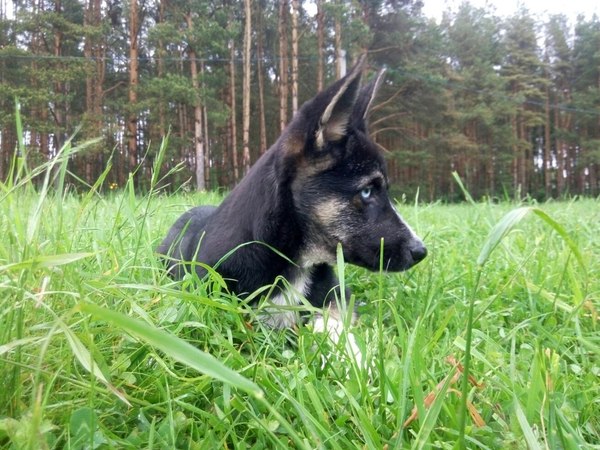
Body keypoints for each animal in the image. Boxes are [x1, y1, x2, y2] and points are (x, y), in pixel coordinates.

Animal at [157, 55, 424, 366]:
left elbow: (330, 320)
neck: (294, 261)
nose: (421, 251)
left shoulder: (338, 297)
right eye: (367, 191)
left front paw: (353, 358)